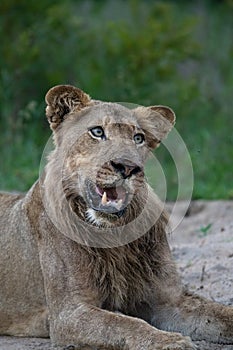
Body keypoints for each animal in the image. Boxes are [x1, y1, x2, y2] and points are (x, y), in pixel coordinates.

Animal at [0, 85, 233, 350]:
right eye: (97, 132)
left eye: (138, 138)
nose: (128, 167)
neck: (114, 234)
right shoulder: (68, 314)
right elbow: (122, 323)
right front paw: (170, 341)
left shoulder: (170, 301)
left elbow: (222, 313)